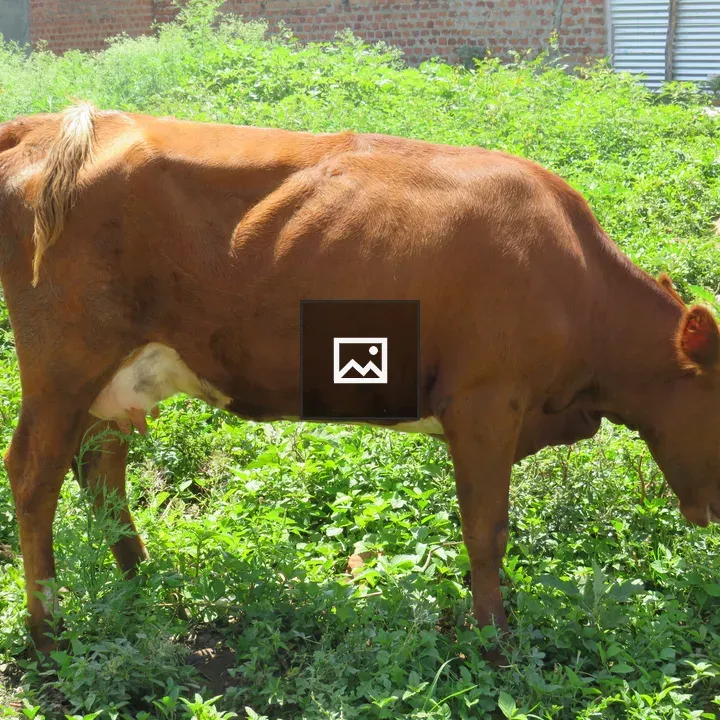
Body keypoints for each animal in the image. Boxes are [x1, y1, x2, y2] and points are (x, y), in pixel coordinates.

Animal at [0, 103, 718, 655]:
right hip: (64, 366)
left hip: (117, 377)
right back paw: (49, 633)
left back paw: (144, 584)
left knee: (101, 472)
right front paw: (497, 641)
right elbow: (486, 531)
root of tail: (57, 122)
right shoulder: (485, 402)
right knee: (34, 478)